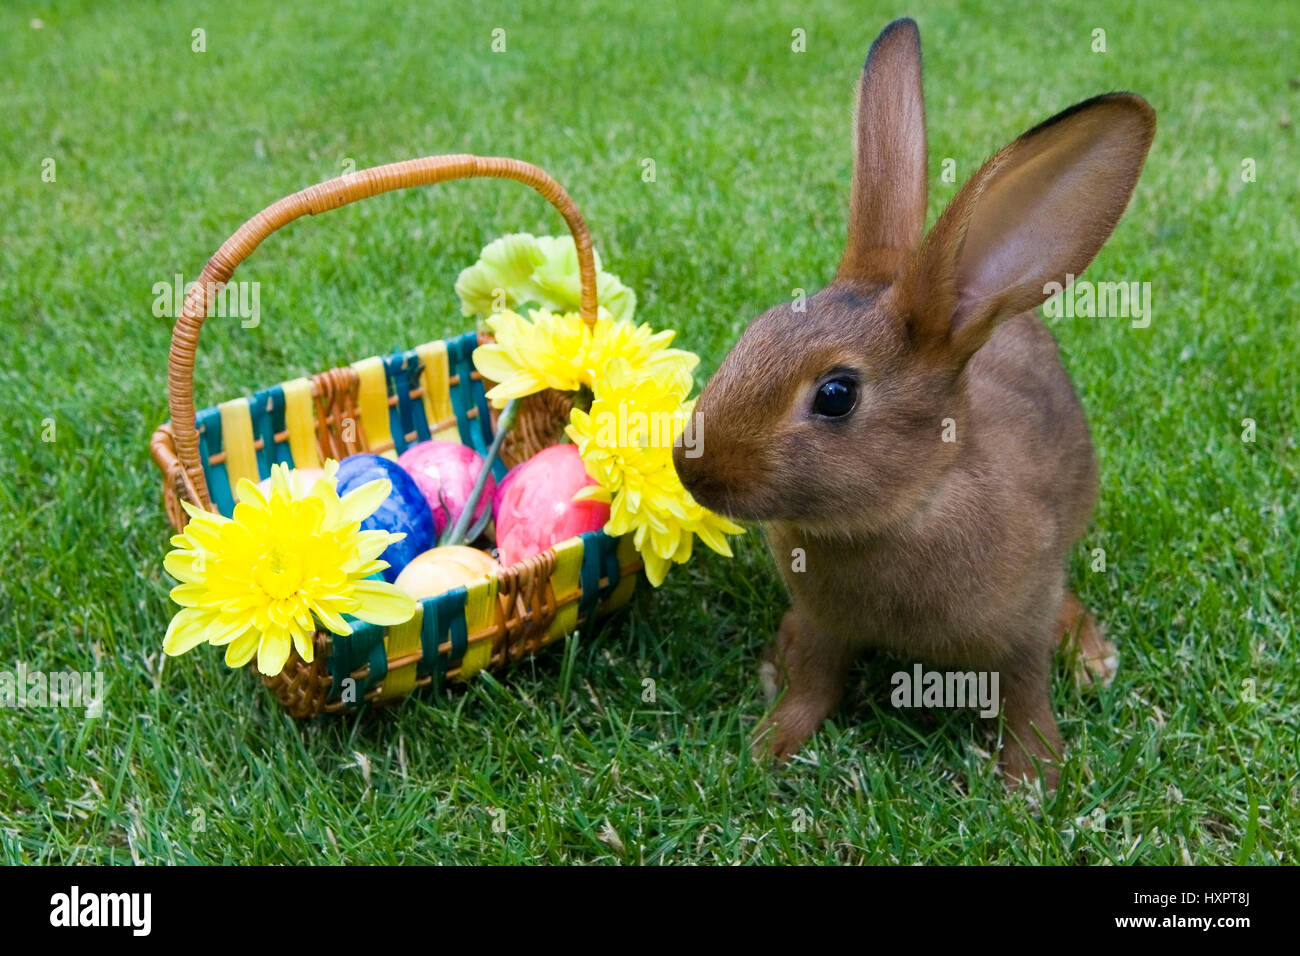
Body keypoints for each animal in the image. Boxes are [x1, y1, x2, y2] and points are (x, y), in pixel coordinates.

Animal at [673, 17, 1154, 788]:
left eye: (836, 395)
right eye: (758, 327)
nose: (692, 469)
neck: (904, 507)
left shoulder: (1018, 633)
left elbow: (1026, 696)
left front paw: (1033, 781)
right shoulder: (825, 626)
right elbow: (814, 683)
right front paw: (768, 747)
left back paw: (1091, 659)